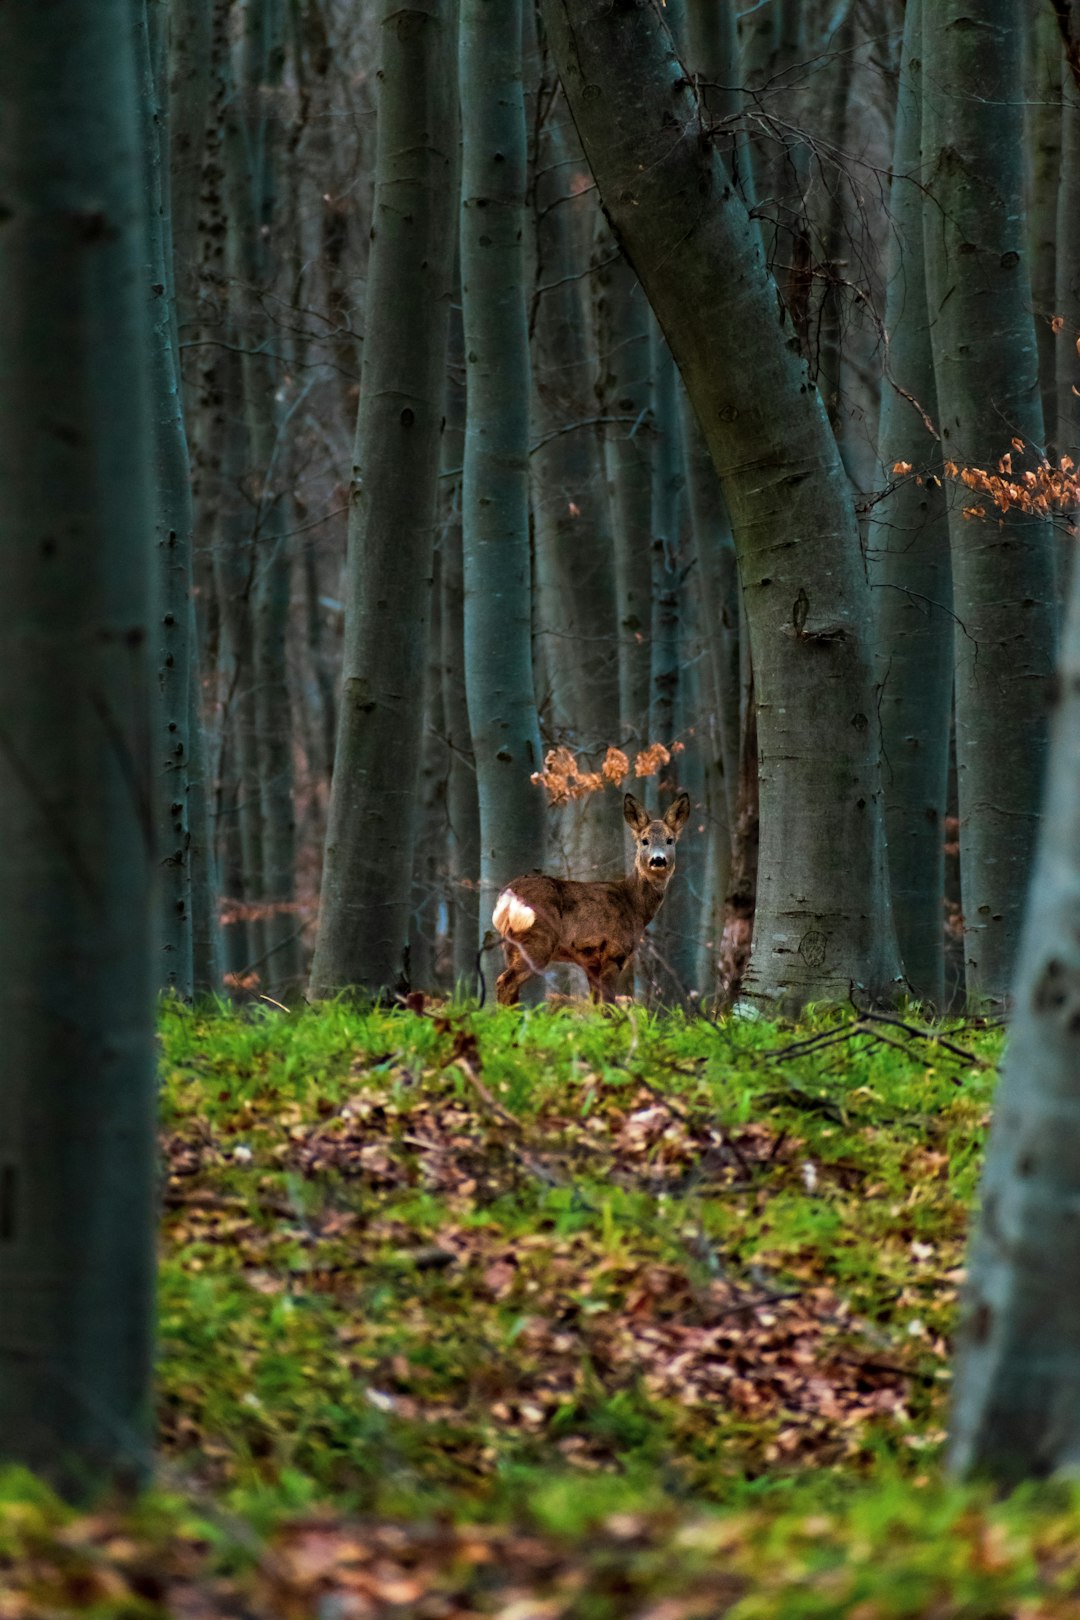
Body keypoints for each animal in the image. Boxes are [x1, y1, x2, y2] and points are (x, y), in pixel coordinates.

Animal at [492, 790, 693, 1004]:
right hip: (537, 939)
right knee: (505, 982)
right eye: (644, 840)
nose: (658, 860)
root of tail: (506, 896)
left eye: (670, 840)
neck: (633, 905)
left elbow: (596, 1005)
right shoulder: (613, 954)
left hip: (511, 946)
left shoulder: (591, 963)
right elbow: (609, 1005)